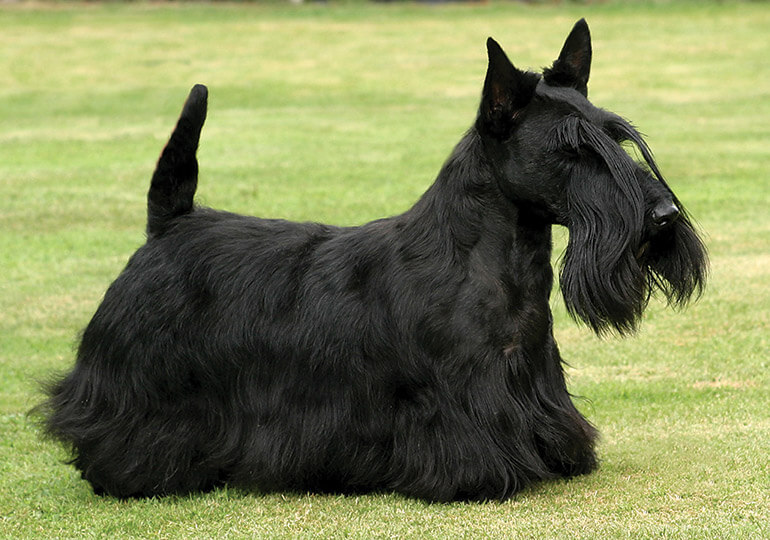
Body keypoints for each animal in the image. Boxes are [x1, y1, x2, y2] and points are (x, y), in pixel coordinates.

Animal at [39, 21, 704, 502]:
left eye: (615, 137)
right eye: (571, 150)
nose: (664, 215)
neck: (493, 265)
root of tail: (169, 223)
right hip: (139, 381)